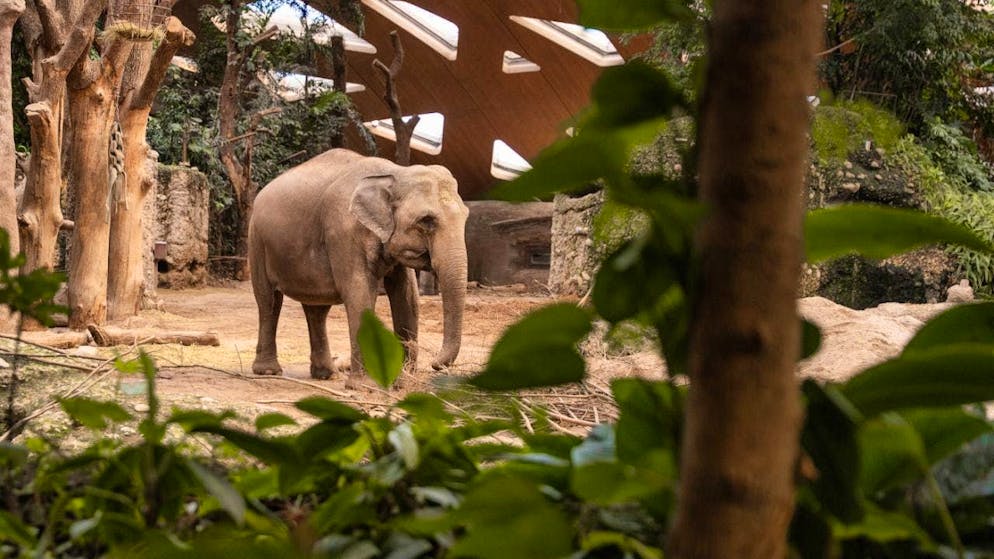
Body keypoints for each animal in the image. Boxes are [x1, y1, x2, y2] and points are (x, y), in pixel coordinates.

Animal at [248, 148, 469, 383]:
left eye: (466, 216)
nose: (435, 364)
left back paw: (326, 375)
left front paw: (403, 381)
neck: (394, 173)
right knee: (269, 301)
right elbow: (359, 293)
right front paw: (364, 385)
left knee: (316, 308)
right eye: (426, 220)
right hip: (257, 241)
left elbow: (407, 296)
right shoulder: (343, 231)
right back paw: (268, 371)